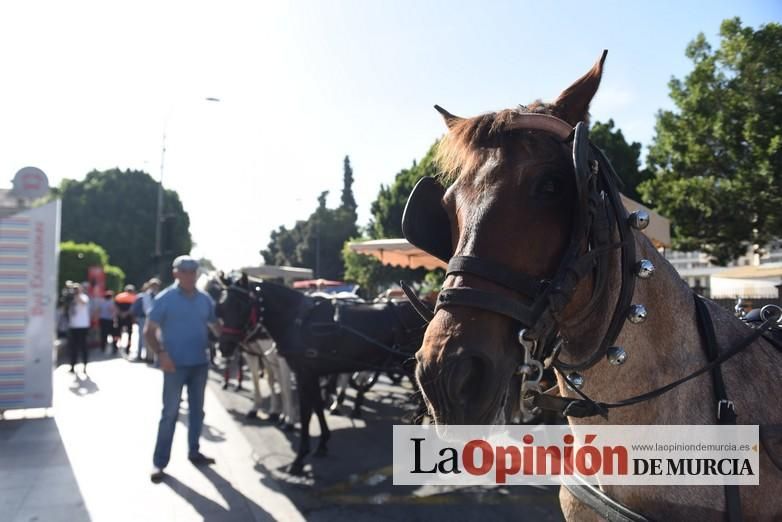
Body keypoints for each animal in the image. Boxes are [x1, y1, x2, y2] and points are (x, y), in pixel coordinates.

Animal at [217, 274, 426, 474]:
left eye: (242, 306)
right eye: (221, 306)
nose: (224, 348)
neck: (297, 320)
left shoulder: (303, 374)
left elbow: (306, 414)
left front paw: (299, 459)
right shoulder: (312, 374)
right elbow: (317, 406)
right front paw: (323, 443)